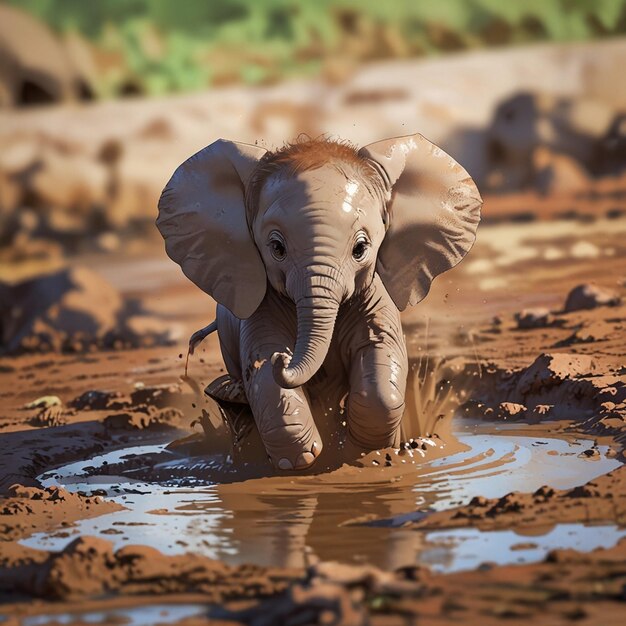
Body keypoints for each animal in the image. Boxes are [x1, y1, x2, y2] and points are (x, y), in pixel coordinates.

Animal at [156, 134, 478, 470]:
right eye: (276, 248)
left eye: (361, 248)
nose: (284, 360)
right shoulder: (262, 306)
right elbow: (264, 370)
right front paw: (302, 459)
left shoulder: (374, 299)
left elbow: (380, 363)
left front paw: (359, 453)